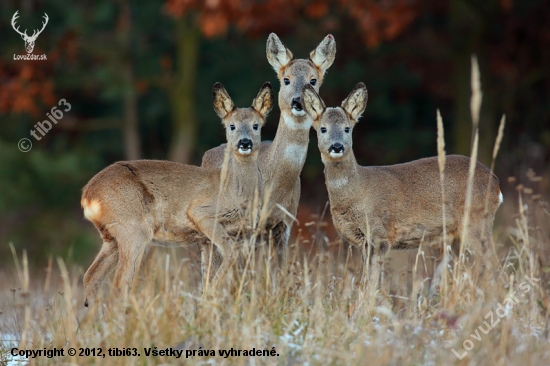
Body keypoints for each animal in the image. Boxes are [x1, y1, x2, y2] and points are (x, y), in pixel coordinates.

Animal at [81, 83, 274, 306]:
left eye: (256, 125)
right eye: (231, 126)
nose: (245, 143)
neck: (235, 190)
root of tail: (87, 196)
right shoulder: (201, 213)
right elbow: (231, 254)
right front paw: (210, 299)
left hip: (112, 236)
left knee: (91, 276)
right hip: (133, 228)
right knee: (120, 283)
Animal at [302, 83, 504, 286]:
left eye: (346, 129)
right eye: (323, 129)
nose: (337, 147)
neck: (357, 192)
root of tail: (496, 183)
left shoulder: (380, 235)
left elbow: (372, 282)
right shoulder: (362, 242)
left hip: (477, 220)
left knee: (495, 267)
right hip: (457, 235)